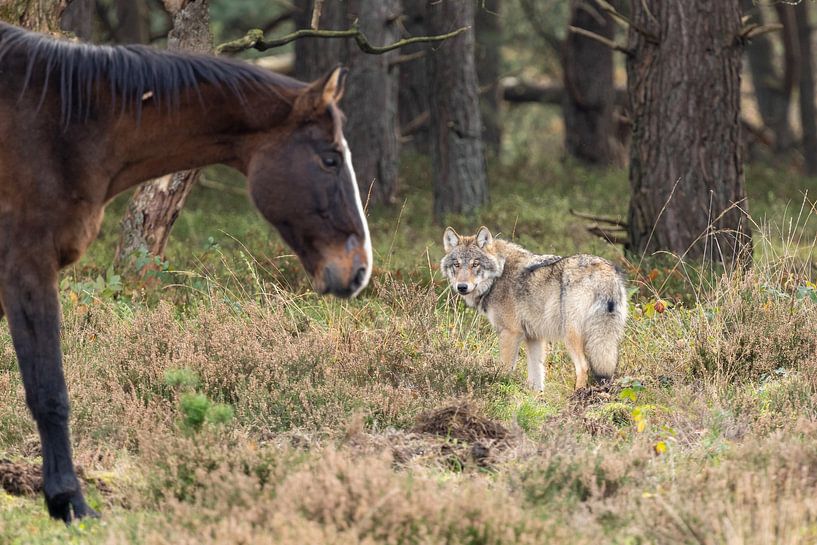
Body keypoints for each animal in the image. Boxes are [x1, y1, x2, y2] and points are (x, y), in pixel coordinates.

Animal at [441, 226, 628, 391]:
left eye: (475, 264)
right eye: (456, 264)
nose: (462, 287)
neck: (498, 276)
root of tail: (603, 269)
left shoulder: (510, 333)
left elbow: (505, 369)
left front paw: (502, 389)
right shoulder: (534, 337)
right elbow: (537, 376)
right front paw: (537, 399)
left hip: (570, 334)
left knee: (583, 366)